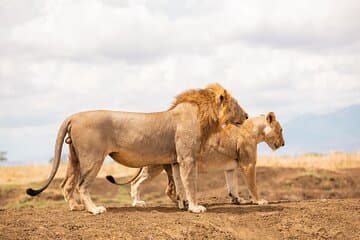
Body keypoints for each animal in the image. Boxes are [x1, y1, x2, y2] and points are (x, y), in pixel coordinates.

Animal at [27, 84, 248, 214]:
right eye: (236, 104)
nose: (246, 116)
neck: (202, 114)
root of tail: (73, 116)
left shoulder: (176, 160)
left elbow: (178, 183)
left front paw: (184, 204)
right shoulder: (187, 158)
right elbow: (190, 183)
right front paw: (195, 207)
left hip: (74, 158)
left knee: (67, 183)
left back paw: (75, 207)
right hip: (92, 158)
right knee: (82, 185)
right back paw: (94, 209)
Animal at [107, 112, 284, 206]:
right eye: (281, 130)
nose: (283, 143)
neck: (255, 131)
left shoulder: (230, 167)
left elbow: (232, 184)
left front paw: (237, 199)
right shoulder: (248, 164)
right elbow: (252, 185)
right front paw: (259, 201)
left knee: (137, 183)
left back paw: (139, 202)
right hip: (155, 167)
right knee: (143, 184)